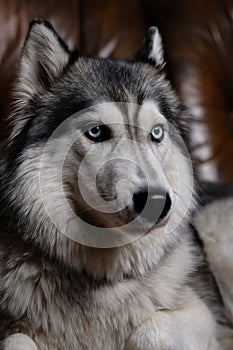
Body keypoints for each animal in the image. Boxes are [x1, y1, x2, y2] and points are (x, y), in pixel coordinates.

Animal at [0, 19, 222, 350]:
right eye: (96, 132)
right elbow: (17, 340)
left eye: (156, 134)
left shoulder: (208, 317)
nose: (158, 202)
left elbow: (150, 328)